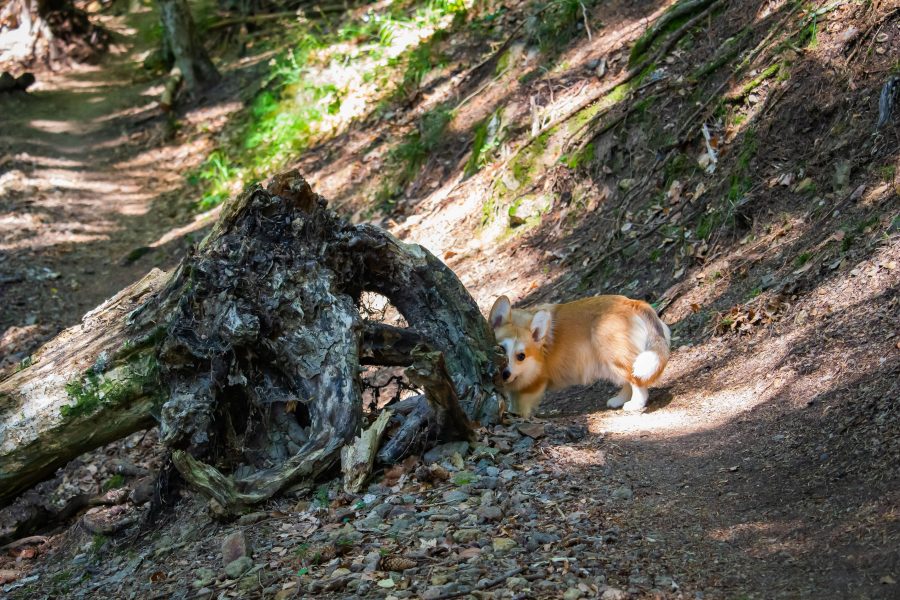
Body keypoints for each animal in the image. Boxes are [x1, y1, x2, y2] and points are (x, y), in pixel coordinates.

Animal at [488, 296, 672, 418]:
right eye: (501, 349)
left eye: (521, 356)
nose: (505, 374)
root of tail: (633, 302)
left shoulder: (532, 385)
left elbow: (520, 406)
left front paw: (516, 416)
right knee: (627, 380)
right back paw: (618, 400)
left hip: (613, 353)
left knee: (636, 381)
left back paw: (636, 404)